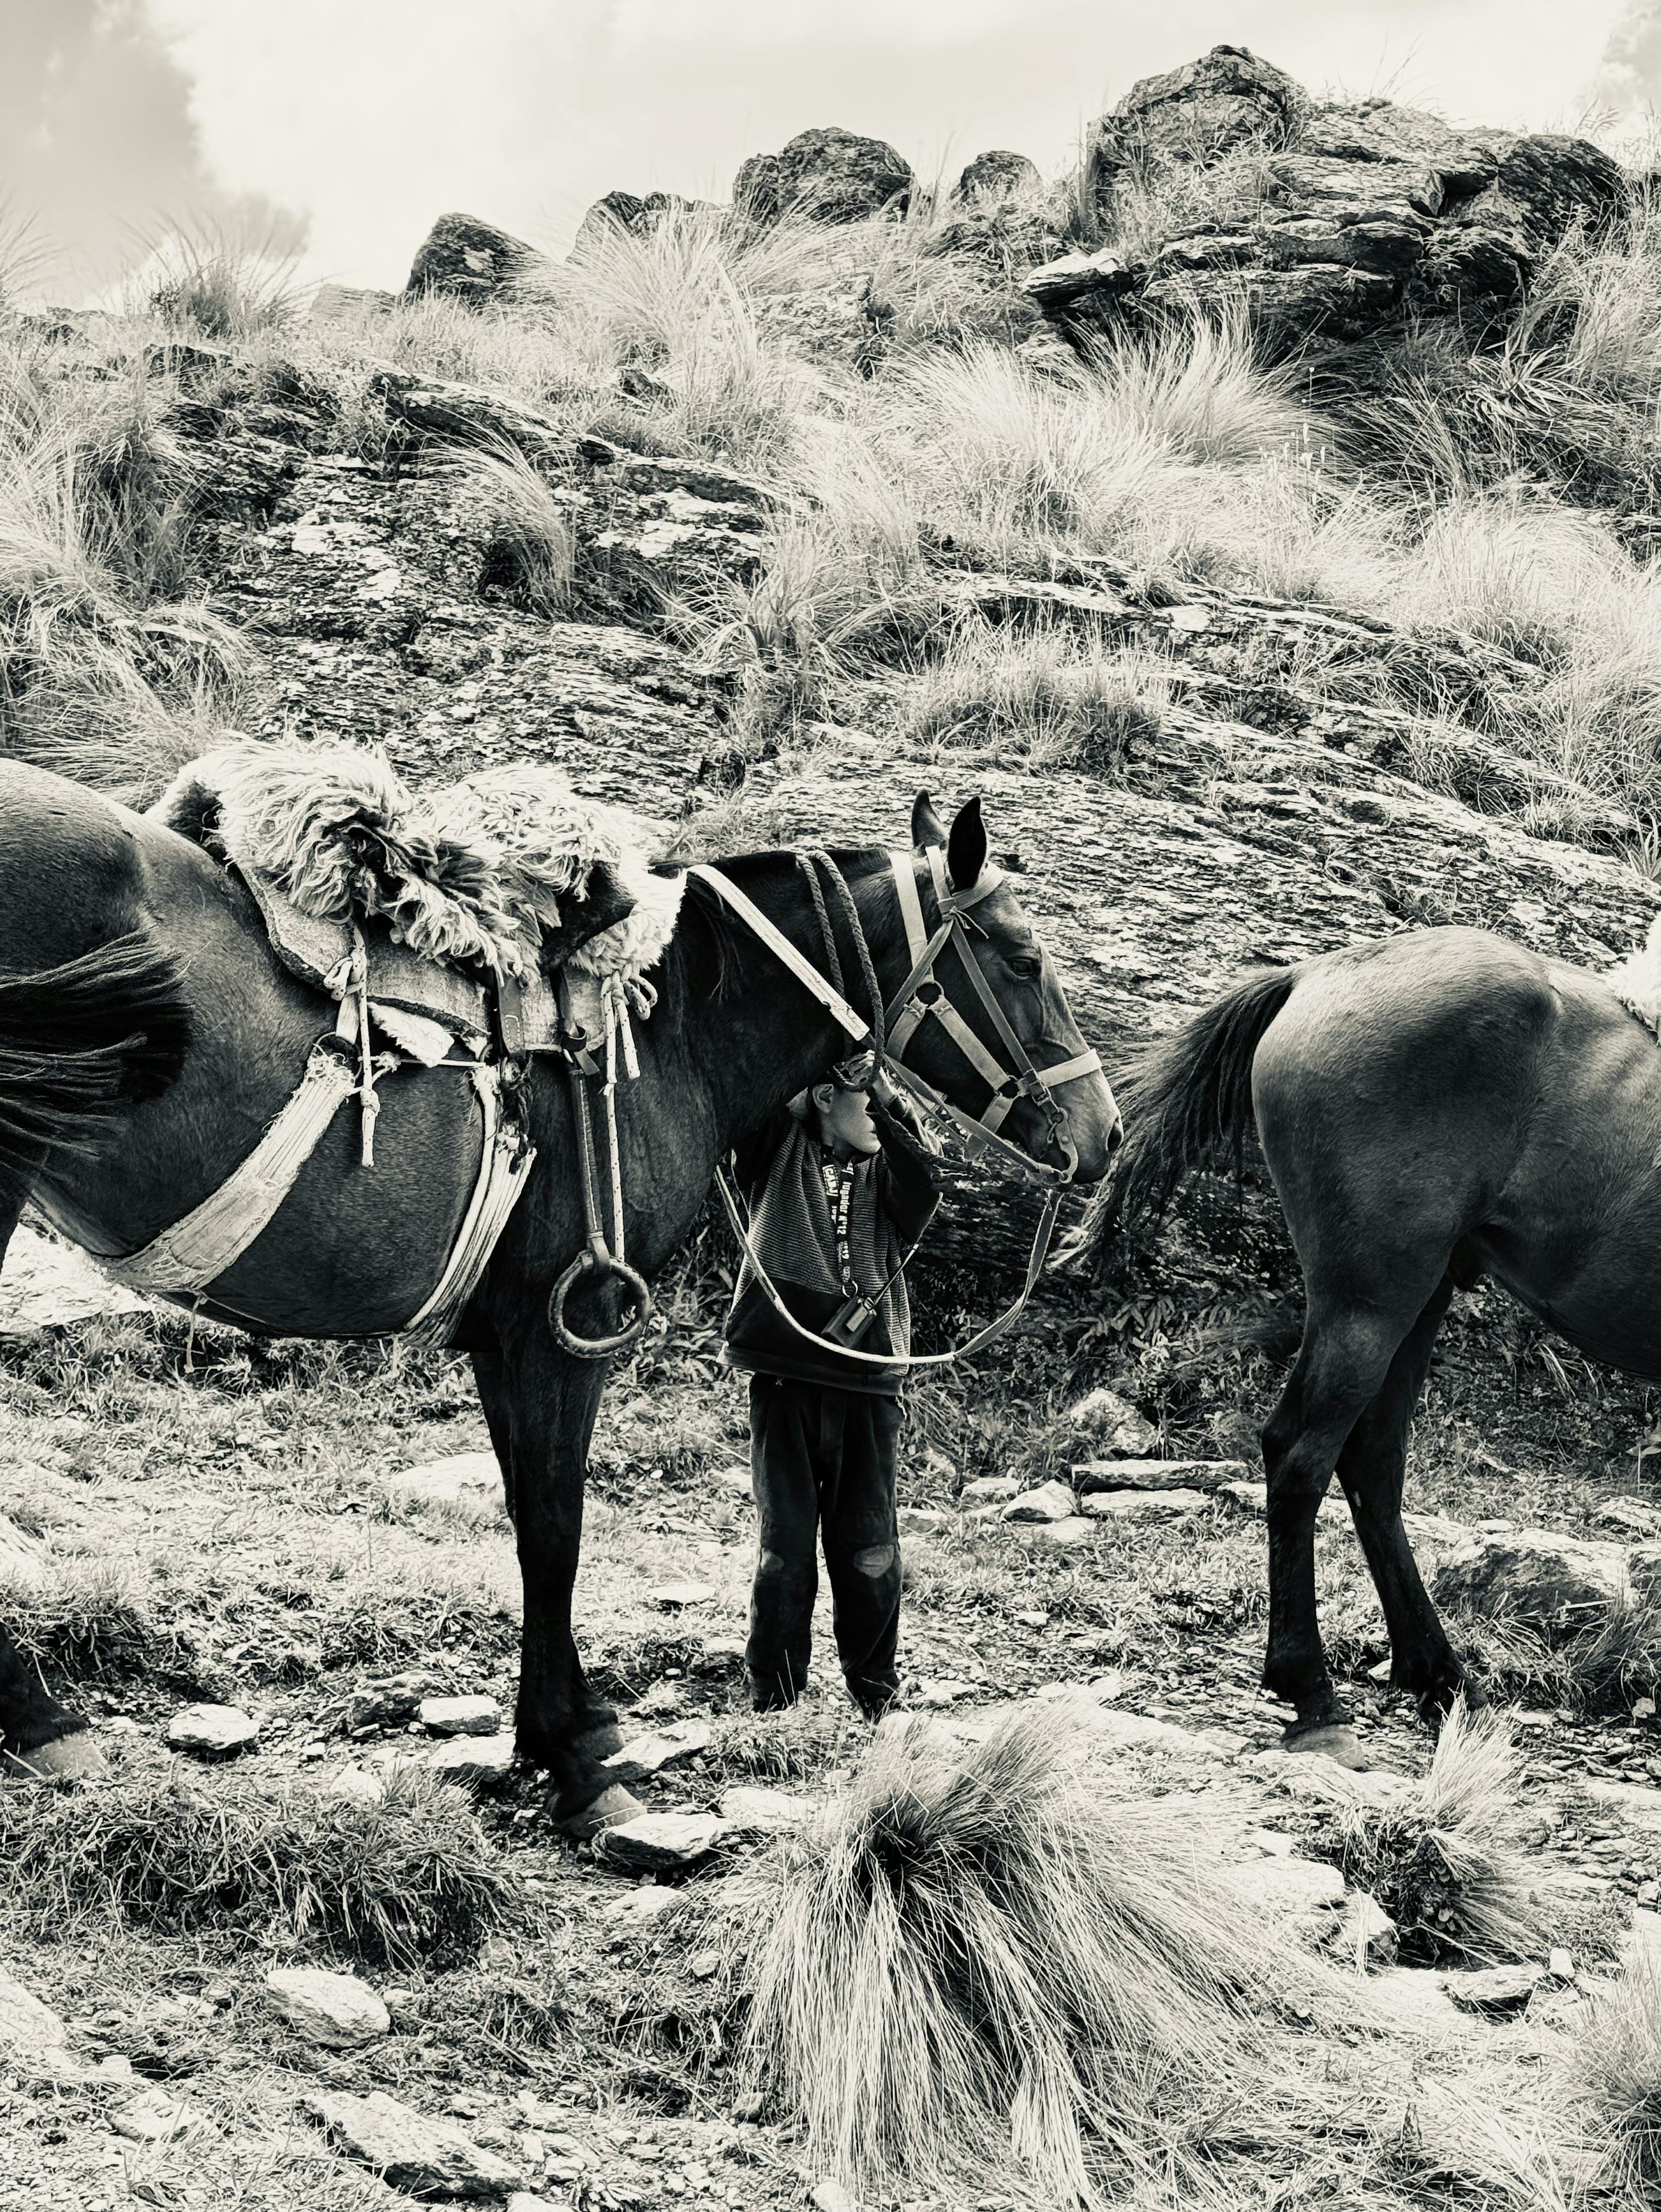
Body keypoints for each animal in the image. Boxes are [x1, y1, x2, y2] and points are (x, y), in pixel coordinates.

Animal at [0, 764, 1121, 1820]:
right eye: (1023, 959)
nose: (1104, 1135)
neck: (671, 1031)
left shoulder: (504, 1340)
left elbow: (528, 1514)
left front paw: (554, 1731)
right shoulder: (566, 1328)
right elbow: (555, 1526)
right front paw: (578, 1756)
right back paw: (41, 1716)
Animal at [1104, 921, 1661, 1768]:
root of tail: (1313, 974)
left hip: (1416, 1298)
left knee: (1370, 1462)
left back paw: (1435, 1673)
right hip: (1370, 1301)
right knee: (1301, 1453)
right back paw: (1311, 1690)